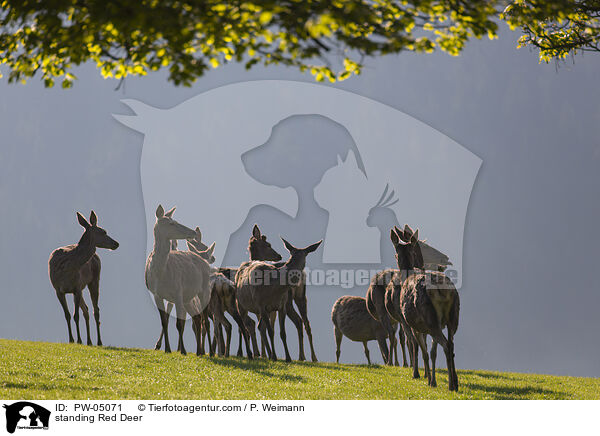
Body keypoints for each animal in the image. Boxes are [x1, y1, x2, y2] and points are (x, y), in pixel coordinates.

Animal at [48, 212, 119, 348]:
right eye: (103, 231)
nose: (116, 243)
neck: (66, 267)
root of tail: (96, 256)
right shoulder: (58, 290)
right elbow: (67, 315)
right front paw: (71, 339)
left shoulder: (77, 287)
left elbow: (76, 316)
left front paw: (79, 340)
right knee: (86, 310)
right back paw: (89, 341)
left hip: (94, 280)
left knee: (95, 310)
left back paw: (99, 341)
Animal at [384, 227, 460, 390]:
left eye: (395, 254)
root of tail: (441, 289)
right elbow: (431, 351)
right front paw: (428, 376)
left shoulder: (411, 323)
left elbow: (419, 348)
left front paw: (421, 376)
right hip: (453, 317)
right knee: (451, 344)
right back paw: (455, 382)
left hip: (430, 319)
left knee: (445, 345)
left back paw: (448, 384)